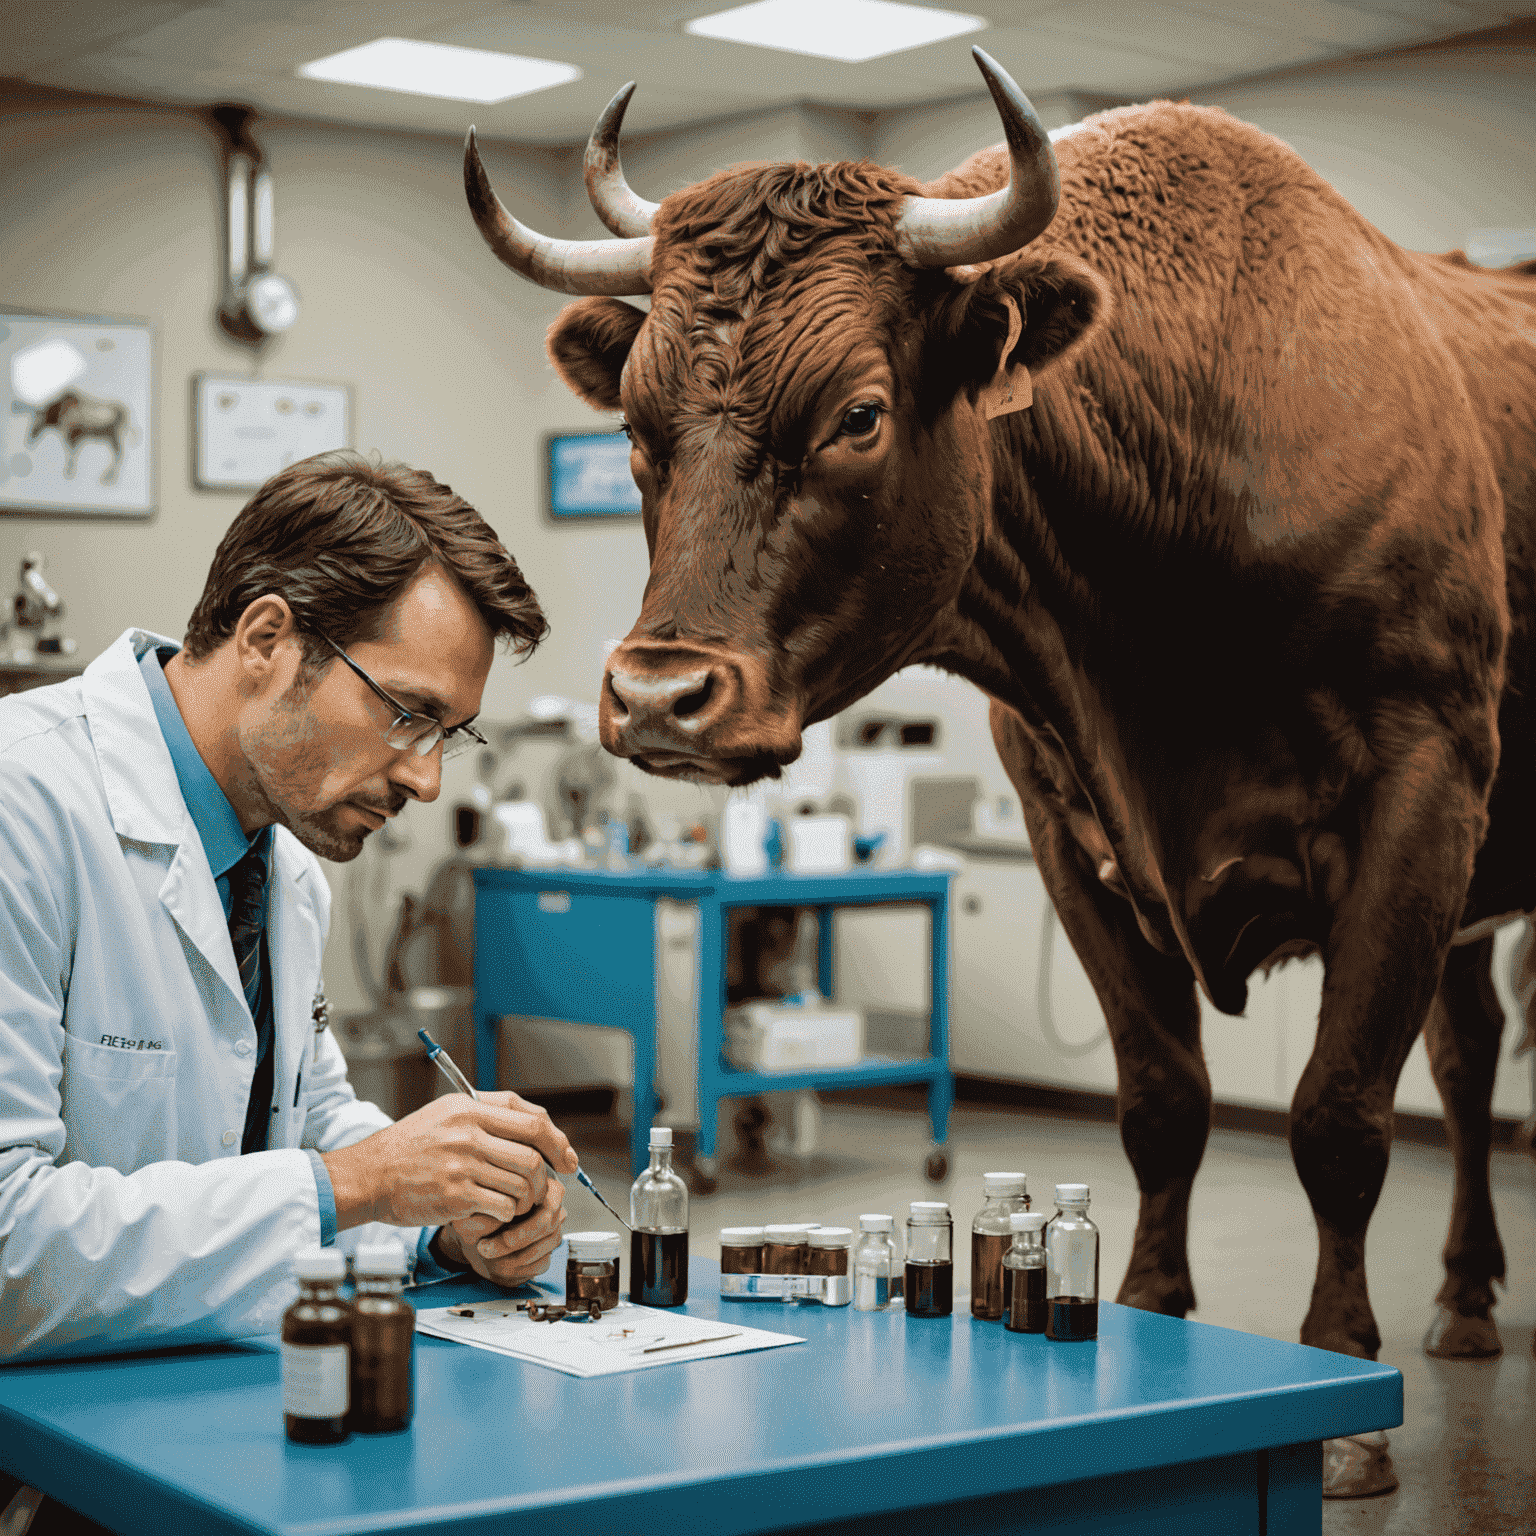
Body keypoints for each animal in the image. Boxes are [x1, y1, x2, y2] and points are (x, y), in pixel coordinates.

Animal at [466, 51, 1536, 1499]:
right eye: (633, 427)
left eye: (858, 414)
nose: (657, 695)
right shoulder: (1067, 834)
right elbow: (1161, 1102)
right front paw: (1154, 1309)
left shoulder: (1422, 800)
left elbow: (1339, 1117)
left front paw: (1348, 1399)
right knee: (1473, 1057)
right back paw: (1470, 1297)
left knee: (1459, 1069)